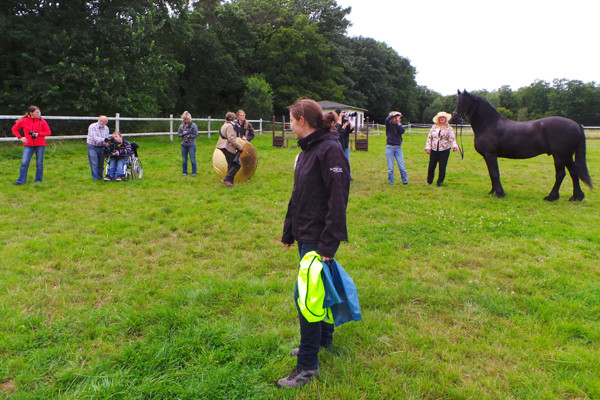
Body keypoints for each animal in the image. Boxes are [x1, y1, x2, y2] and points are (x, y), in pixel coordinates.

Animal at [454, 92, 592, 202]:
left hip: (559, 156)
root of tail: (577, 125)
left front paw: (499, 194)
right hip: (566, 156)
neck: (489, 125)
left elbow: (494, 173)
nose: (454, 118)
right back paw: (576, 197)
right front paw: (493, 192)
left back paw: (551, 197)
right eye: (457, 101)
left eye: (464, 102)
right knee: (574, 173)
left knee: (560, 175)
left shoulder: (490, 155)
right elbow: (491, 174)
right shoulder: (488, 156)